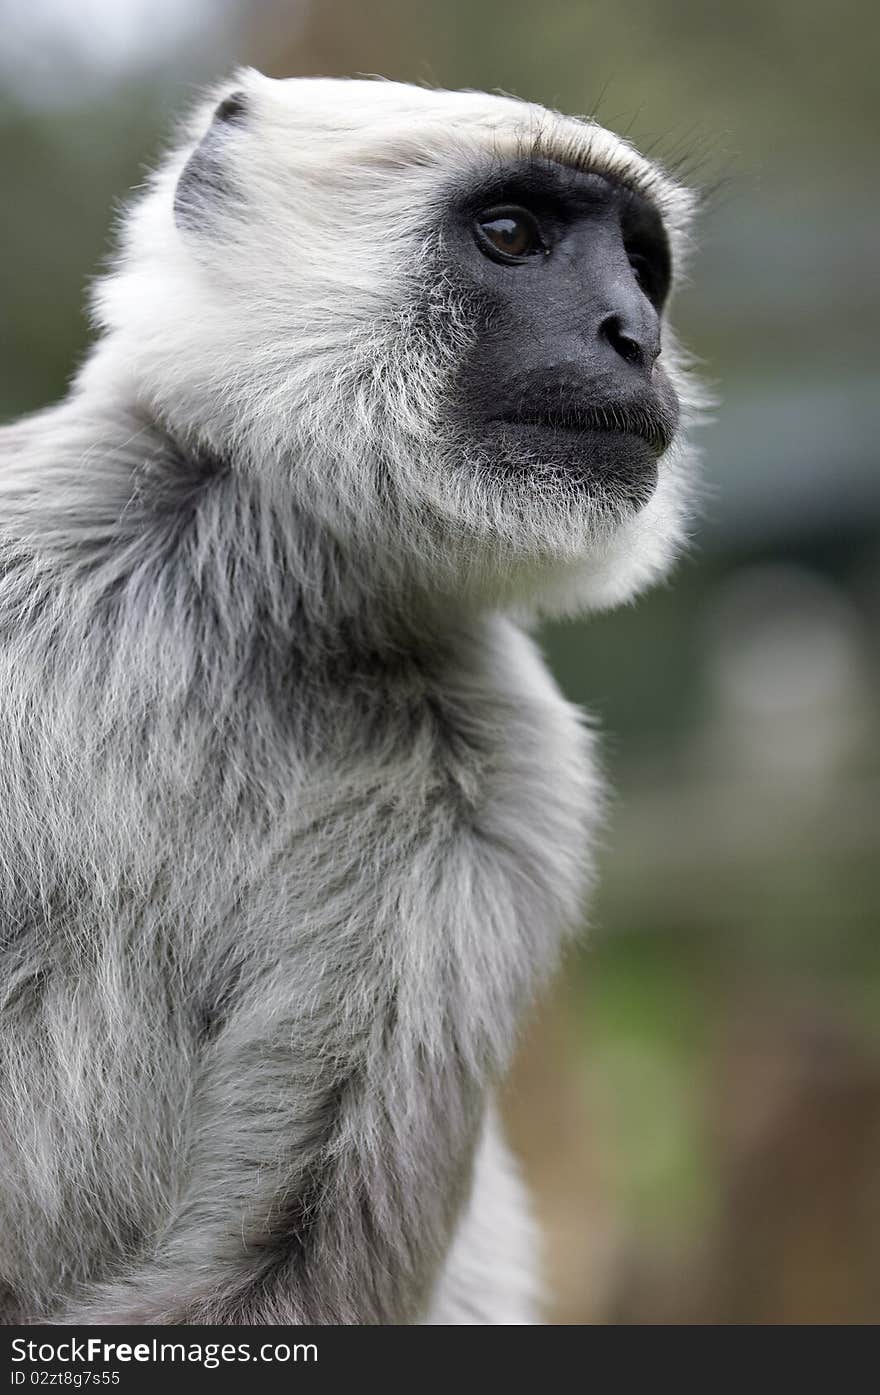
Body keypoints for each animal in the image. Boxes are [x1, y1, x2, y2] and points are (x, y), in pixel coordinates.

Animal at [0, 70, 702, 1322]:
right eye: (510, 235)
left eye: (639, 266)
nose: (634, 337)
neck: (260, 596)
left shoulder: (504, 780)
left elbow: (286, 1259)